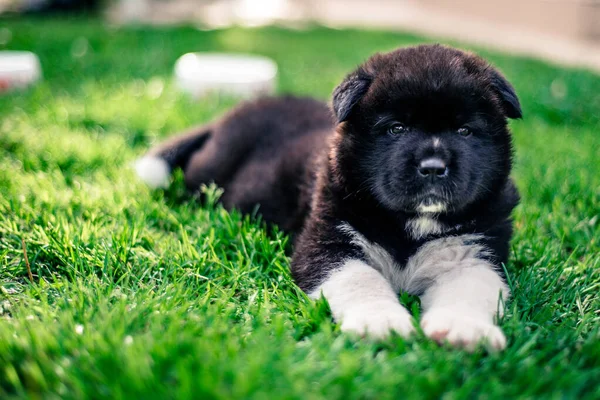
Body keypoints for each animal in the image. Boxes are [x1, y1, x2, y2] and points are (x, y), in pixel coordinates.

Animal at [136, 43, 520, 350]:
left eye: (464, 131)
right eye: (396, 128)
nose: (433, 167)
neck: (410, 226)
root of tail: (229, 116)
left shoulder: (475, 254)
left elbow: (471, 290)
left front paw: (464, 329)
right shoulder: (329, 242)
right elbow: (361, 280)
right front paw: (381, 322)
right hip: (210, 172)